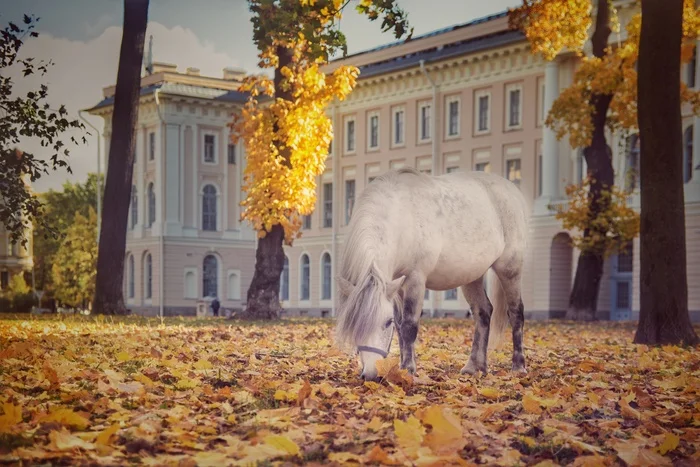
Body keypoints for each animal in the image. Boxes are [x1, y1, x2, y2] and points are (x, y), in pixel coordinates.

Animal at [336, 167, 528, 380]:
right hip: (471, 276)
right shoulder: (396, 287)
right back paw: (475, 367)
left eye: (387, 322)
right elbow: (401, 328)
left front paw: (408, 369)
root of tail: (512, 190)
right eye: (354, 325)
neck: (402, 220)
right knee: (483, 312)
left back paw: (518, 366)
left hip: (510, 268)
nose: (370, 374)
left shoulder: (416, 280)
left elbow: (409, 326)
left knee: (516, 312)